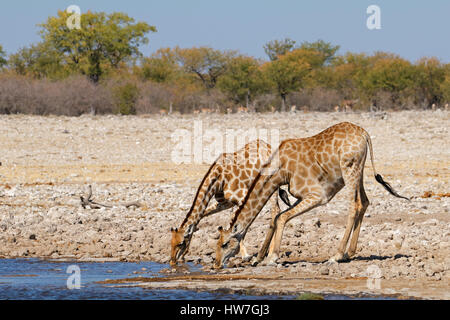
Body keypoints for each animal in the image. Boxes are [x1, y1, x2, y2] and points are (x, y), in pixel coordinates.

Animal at [216, 122, 410, 268]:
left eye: (224, 244)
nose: (217, 264)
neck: (281, 170)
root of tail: (365, 133)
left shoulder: (318, 196)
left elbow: (282, 217)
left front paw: (271, 257)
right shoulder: (301, 196)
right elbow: (279, 216)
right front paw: (263, 257)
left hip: (350, 169)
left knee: (354, 205)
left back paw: (337, 255)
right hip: (358, 170)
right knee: (364, 202)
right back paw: (349, 252)